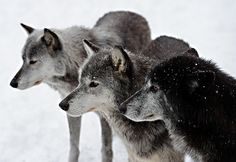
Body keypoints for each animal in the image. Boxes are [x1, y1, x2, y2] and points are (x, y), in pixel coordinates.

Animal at [9, 10, 151, 161]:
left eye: (33, 61)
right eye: (23, 59)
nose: (13, 83)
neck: (77, 61)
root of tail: (131, 12)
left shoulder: (104, 117)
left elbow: (106, 150)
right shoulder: (71, 111)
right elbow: (74, 147)